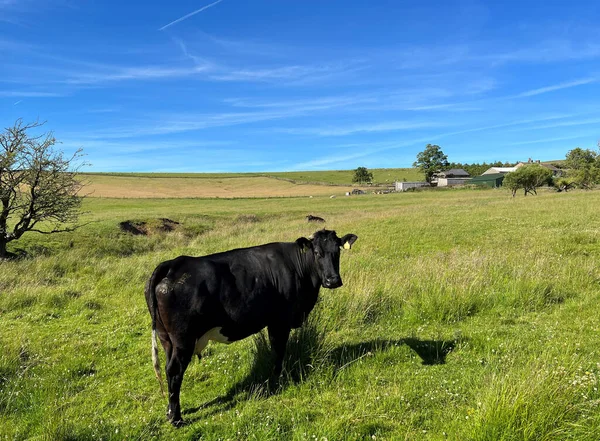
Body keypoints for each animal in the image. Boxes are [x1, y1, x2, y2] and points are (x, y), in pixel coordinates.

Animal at [146, 229, 358, 424]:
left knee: (168, 369)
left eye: (337, 251)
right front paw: (277, 379)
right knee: (174, 370)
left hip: (167, 339)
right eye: (316, 252)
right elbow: (278, 350)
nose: (332, 280)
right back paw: (176, 419)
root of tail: (174, 264)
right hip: (183, 339)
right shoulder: (279, 322)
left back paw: (170, 412)